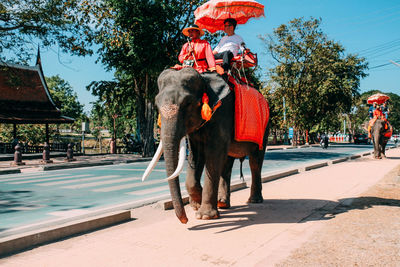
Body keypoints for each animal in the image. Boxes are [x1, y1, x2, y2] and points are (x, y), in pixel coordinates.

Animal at [143, 67, 268, 224]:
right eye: (156, 104)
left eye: (188, 103)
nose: (185, 221)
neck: (204, 78)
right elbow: (196, 155)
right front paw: (196, 204)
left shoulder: (223, 114)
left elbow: (214, 154)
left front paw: (204, 215)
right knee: (227, 163)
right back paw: (222, 203)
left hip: (265, 129)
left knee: (255, 162)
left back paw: (254, 200)